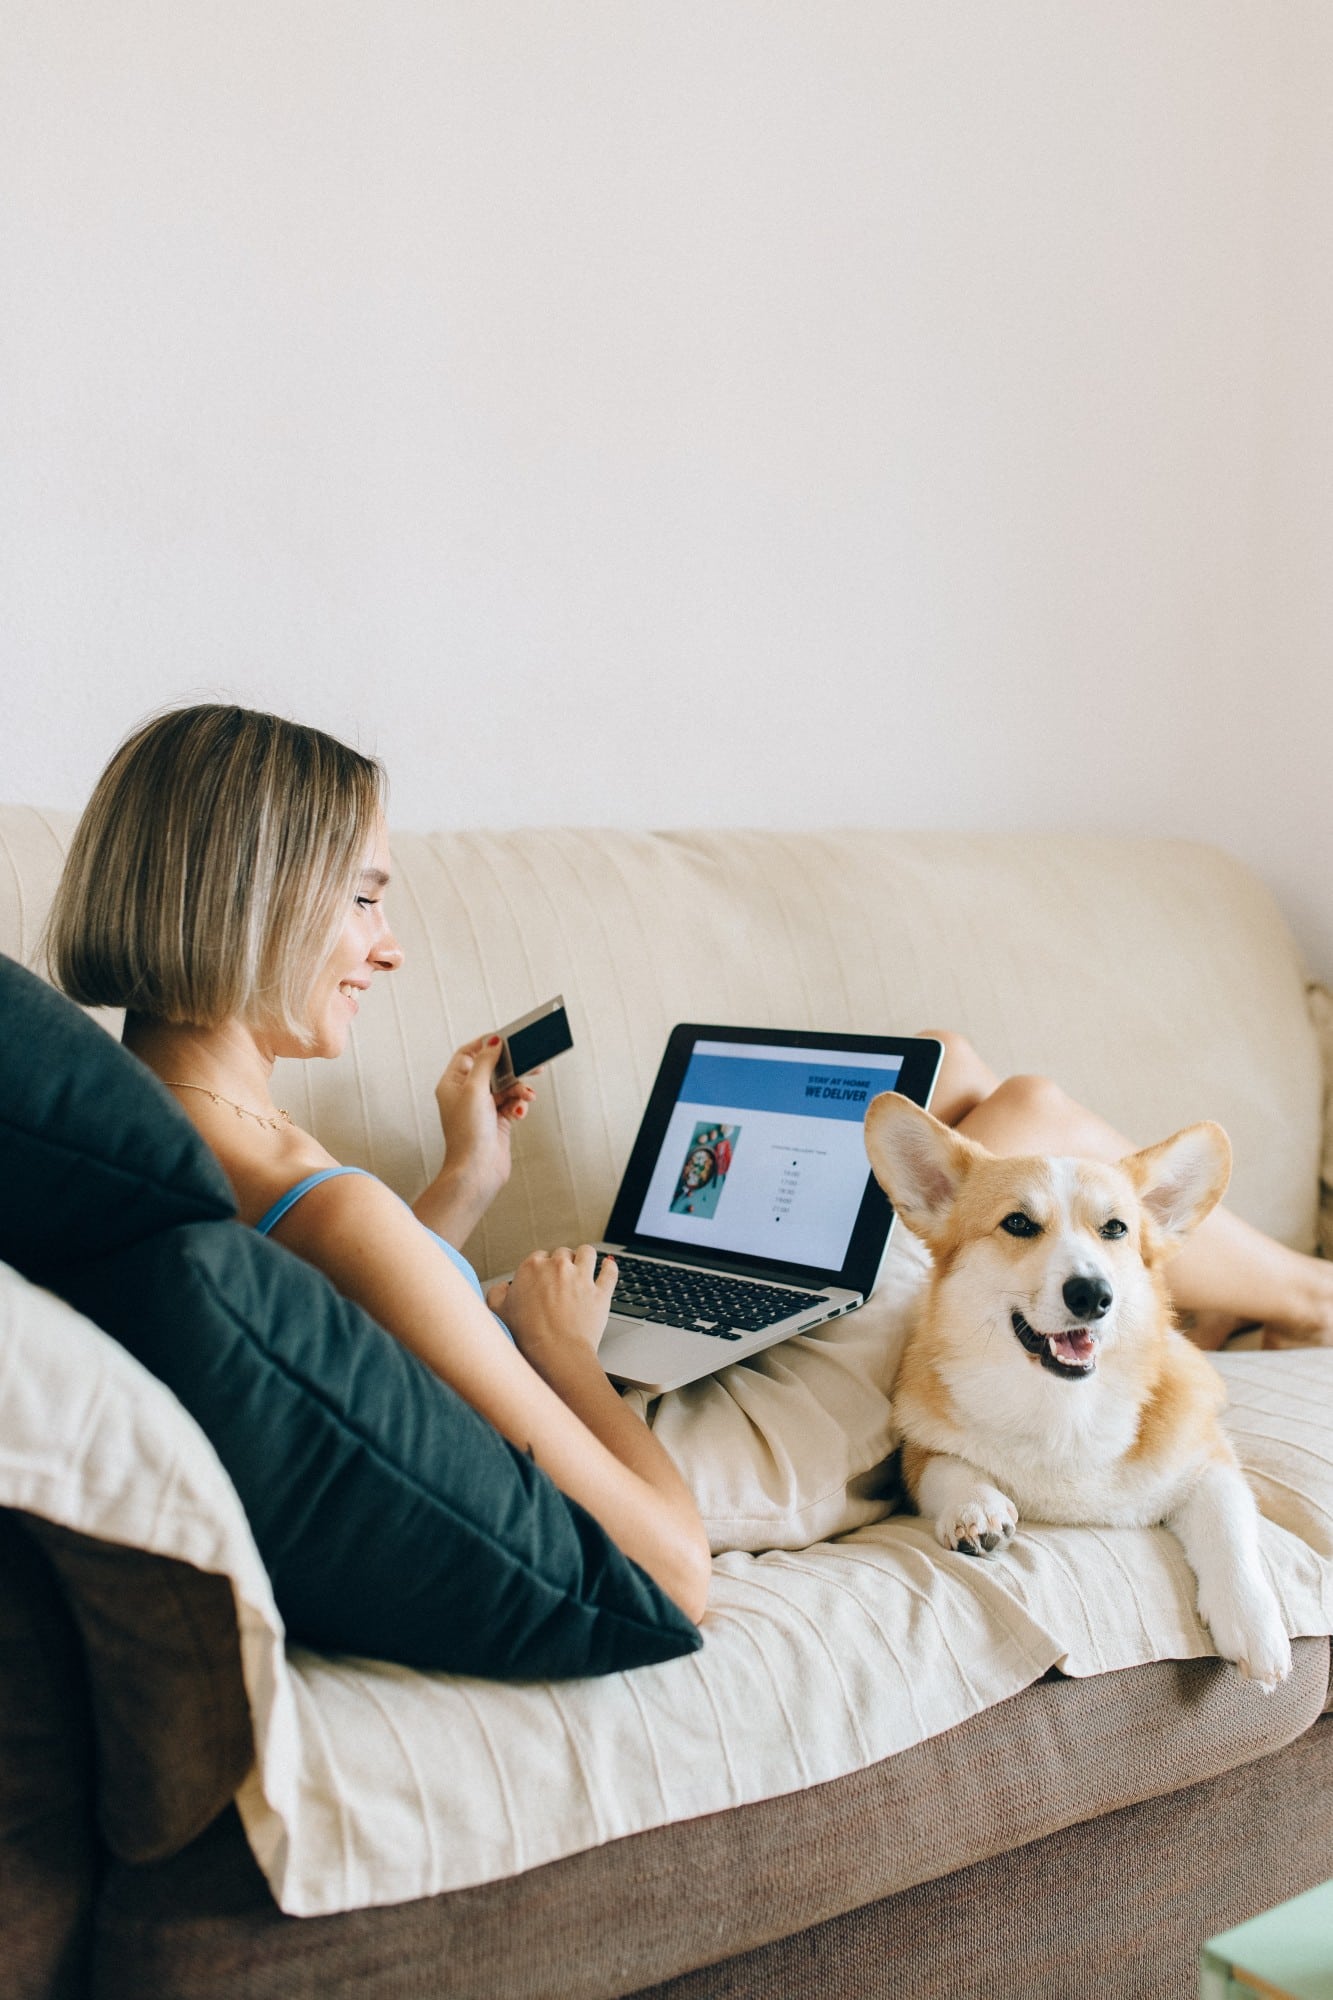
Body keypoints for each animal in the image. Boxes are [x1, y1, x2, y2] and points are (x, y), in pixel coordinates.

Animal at [860, 1096, 1288, 1688]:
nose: (1092, 1294)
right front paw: (976, 1507)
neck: (1064, 1411)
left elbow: (1230, 1529)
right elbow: (948, 1466)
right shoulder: (920, 1449)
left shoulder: (1209, 1462)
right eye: (1018, 1223)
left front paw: (1254, 1626)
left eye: (1115, 1228)